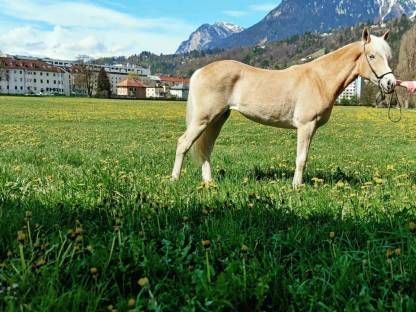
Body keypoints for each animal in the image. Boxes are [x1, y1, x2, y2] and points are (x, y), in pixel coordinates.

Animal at [171, 27, 396, 188]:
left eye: (388, 57)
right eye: (372, 56)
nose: (390, 83)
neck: (319, 79)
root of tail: (200, 70)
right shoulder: (306, 126)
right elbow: (301, 158)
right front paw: (297, 187)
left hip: (218, 119)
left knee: (206, 148)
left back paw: (209, 183)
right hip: (203, 119)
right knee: (183, 143)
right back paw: (174, 180)